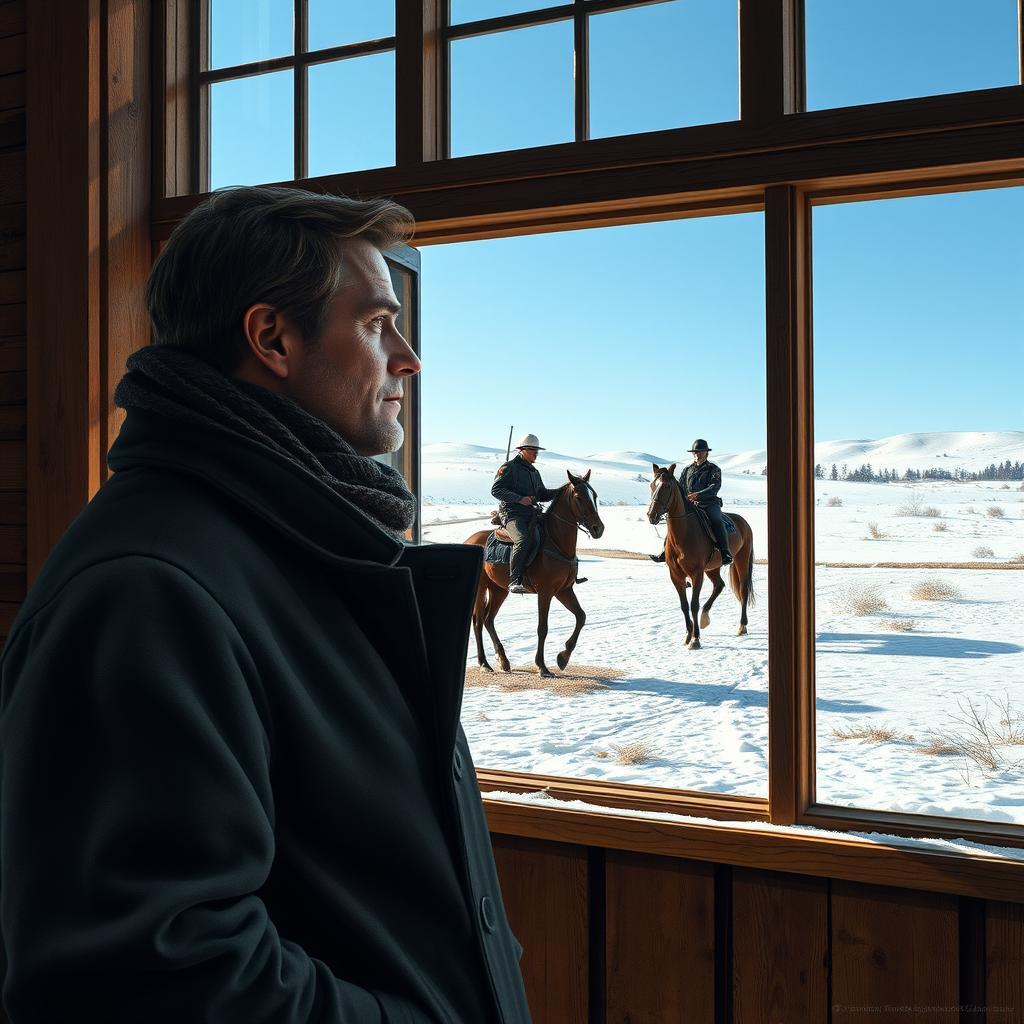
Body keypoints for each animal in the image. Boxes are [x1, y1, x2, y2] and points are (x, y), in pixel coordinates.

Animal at [468, 471, 602, 679]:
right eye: (579, 497)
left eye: (594, 496)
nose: (598, 529)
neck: (556, 542)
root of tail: (469, 540)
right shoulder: (545, 592)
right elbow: (542, 628)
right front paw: (542, 667)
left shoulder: (564, 590)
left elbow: (581, 616)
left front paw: (563, 657)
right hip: (482, 588)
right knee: (478, 621)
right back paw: (484, 663)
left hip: (499, 589)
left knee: (489, 619)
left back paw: (503, 661)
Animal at [647, 464, 753, 647]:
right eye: (652, 485)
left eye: (667, 486)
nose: (651, 515)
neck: (684, 533)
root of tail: (743, 522)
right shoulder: (675, 575)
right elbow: (684, 605)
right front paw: (688, 634)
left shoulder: (697, 573)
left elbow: (694, 604)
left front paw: (695, 639)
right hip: (712, 568)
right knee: (719, 585)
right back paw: (705, 618)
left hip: (741, 560)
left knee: (743, 590)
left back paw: (742, 626)